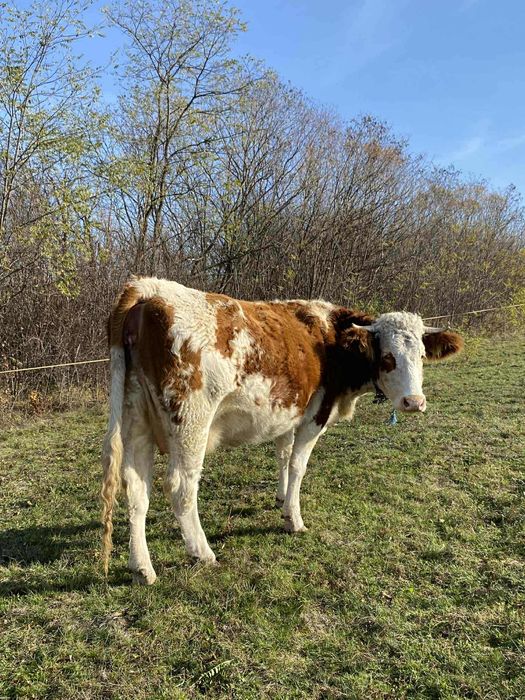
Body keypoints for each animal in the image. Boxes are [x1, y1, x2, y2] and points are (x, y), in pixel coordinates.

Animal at [101, 276, 463, 584]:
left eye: (421, 355)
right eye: (387, 358)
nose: (414, 402)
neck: (332, 340)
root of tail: (150, 288)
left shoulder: (289, 412)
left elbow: (283, 454)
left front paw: (280, 496)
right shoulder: (316, 415)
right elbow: (298, 465)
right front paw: (293, 518)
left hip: (136, 420)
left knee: (136, 489)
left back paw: (142, 567)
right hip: (191, 422)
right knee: (181, 486)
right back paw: (202, 552)